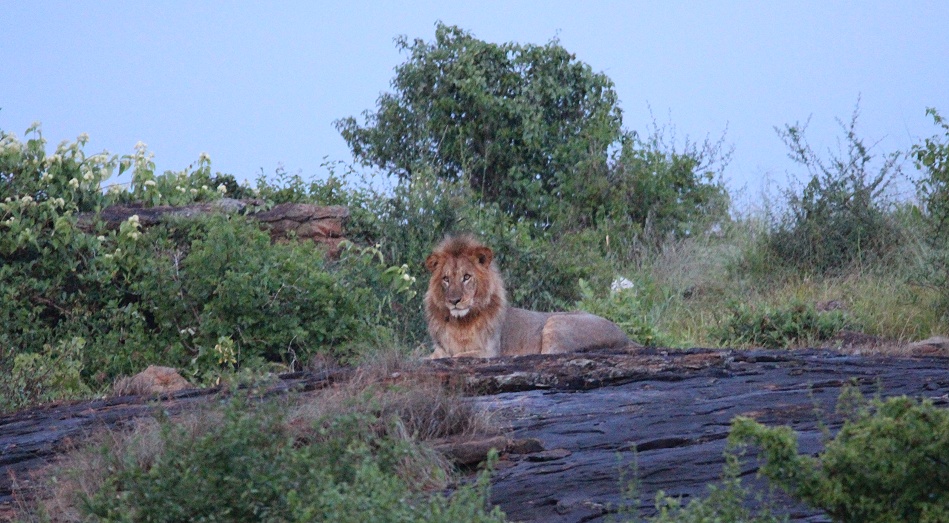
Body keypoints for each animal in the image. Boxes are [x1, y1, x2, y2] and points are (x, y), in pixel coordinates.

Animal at [424, 234, 630, 358]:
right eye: (446, 279)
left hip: (556, 323)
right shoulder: (440, 349)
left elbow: (458, 356)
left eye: (466, 277)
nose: (454, 301)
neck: (461, 323)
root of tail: (626, 336)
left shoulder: (490, 351)